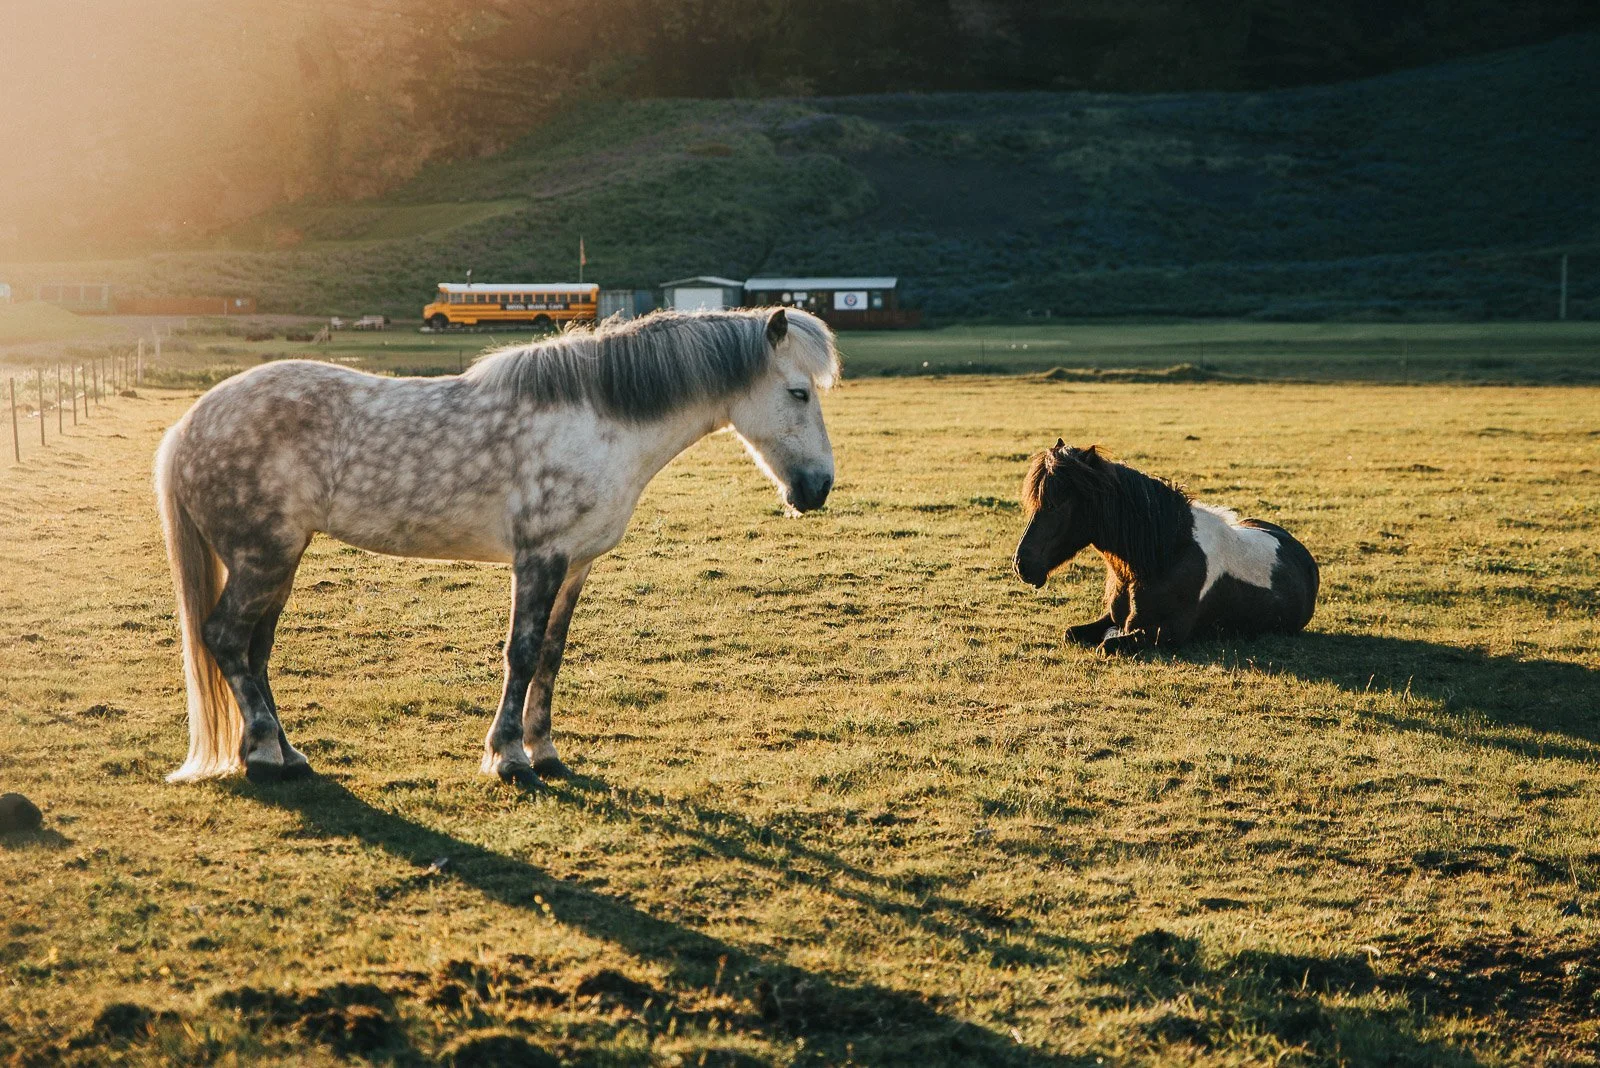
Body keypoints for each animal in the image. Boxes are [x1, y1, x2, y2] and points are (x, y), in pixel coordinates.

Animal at [155, 307, 839, 786]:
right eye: (799, 392)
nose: (818, 488)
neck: (597, 423)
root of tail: (187, 426)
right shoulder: (538, 559)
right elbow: (522, 653)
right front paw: (508, 757)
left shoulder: (575, 565)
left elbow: (552, 656)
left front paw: (545, 750)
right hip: (262, 558)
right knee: (225, 639)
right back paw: (268, 756)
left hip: (279, 560)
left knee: (254, 649)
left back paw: (278, 750)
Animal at [1012, 441, 1318, 653]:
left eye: (1055, 504)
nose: (1021, 565)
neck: (1166, 555)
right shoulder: (1112, 618)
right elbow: (1071, 633)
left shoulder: (1167, 631)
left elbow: (1107, 644)